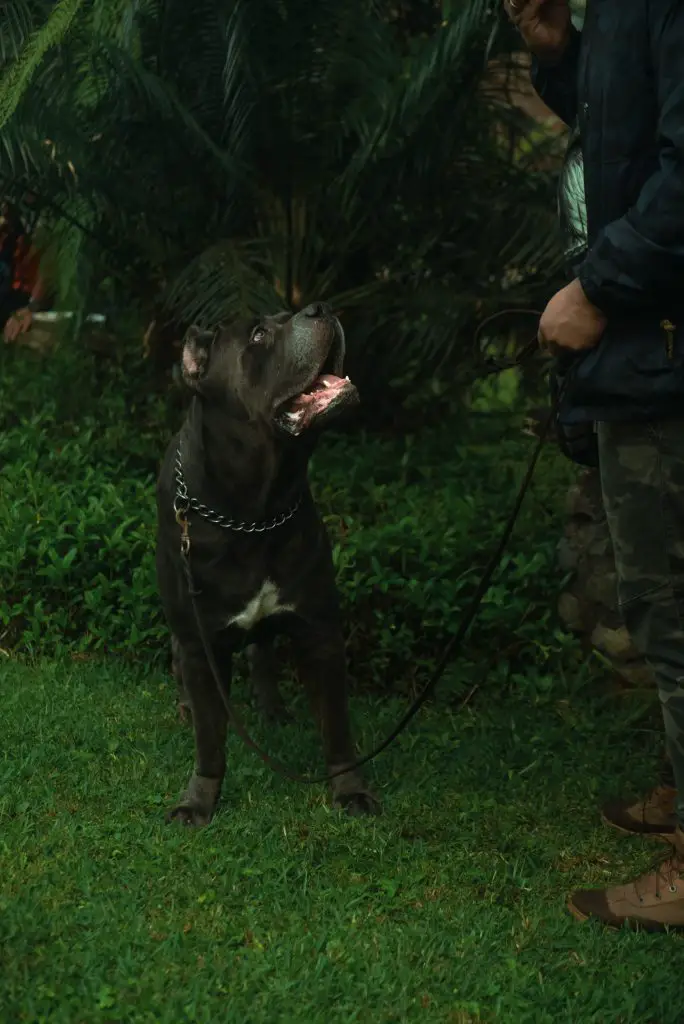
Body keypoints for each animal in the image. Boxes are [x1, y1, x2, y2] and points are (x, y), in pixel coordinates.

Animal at [156, 301, 378, 823]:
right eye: (258, 336)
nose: (319, 306)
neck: (255, 509)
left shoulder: (320, 630)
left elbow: (337, 727)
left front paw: (350, 791)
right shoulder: (201, 644)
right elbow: (210, 741)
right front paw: (198, 801)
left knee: (261, 650)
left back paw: (273, 706)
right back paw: (187, 704)